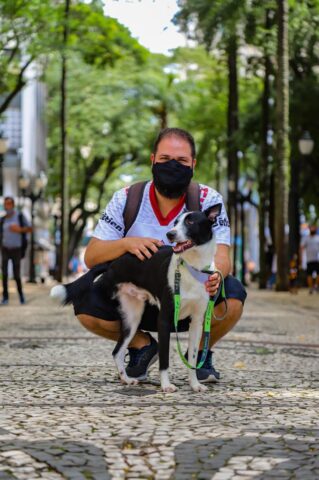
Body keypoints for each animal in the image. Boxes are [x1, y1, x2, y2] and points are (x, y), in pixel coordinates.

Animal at [52, 203, 222, 394]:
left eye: (191, 222)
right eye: (175, 223)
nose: (170, 234)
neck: (192, 266)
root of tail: (113, 263)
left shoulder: (198, 322)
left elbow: (192, 359)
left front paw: (194, 384)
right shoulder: (164, 320)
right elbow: (164, 359)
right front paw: (166, 385)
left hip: (132, 317)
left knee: (117, 352)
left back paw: (126, 379)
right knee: (116, 350)